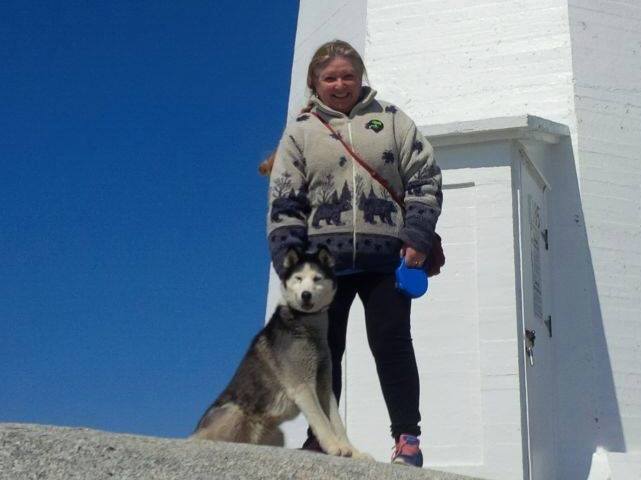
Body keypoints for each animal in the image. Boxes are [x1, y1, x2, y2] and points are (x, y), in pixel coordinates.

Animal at [192, 246, 368, 460]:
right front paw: (334, 447)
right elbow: (321, 421)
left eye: (317, 278)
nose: (306, 295)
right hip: (234, 412)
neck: (308, 327)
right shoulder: (303, 386)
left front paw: (354, 453)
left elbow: (337, 423)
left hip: (278, 435)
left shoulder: (325, 385)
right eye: (298, 278)